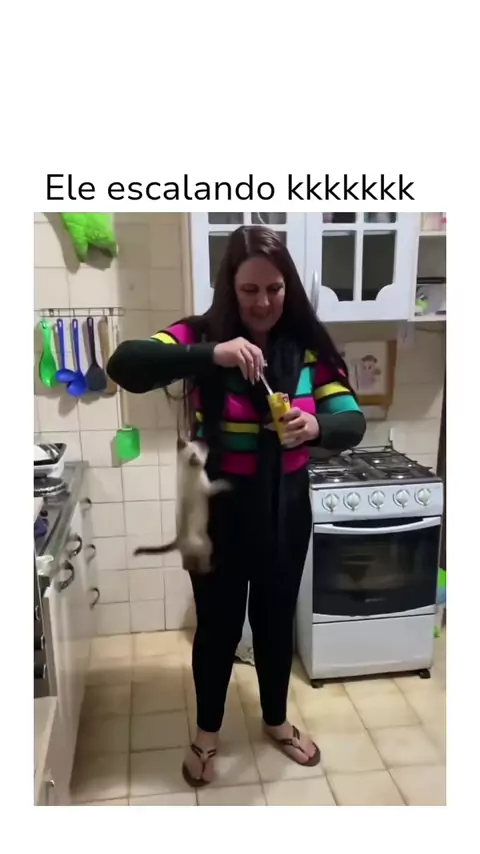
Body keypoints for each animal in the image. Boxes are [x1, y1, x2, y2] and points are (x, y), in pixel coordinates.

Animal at [133, 437, 231, 573]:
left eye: (198, 443)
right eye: (202, 448)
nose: (204, 442)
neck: (186, 468)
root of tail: (178, 541)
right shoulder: (208, 488)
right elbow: (220, 484)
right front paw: (229, 484)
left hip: (187, 555)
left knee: (186, 567)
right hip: (208, 545)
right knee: (203, 567)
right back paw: (214, 564)